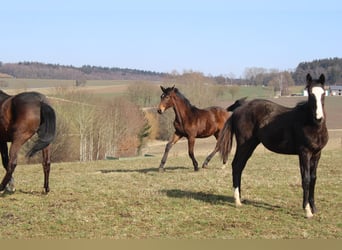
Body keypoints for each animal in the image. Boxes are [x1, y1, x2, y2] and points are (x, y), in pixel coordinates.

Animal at [218, 73, 328, 218]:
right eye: (310, 93)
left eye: (323, 93)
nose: (318, 118)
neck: (311, 125)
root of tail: (239, 109)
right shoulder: (304, 153)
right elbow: (306, 179)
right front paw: (307, 211)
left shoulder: (317, 154)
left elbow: (314, 178)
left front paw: (314, 208)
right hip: (243, 145)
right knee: (236, 165)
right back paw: (237, 200)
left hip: (251, 145)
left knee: (239, 166)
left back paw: (239, 198)